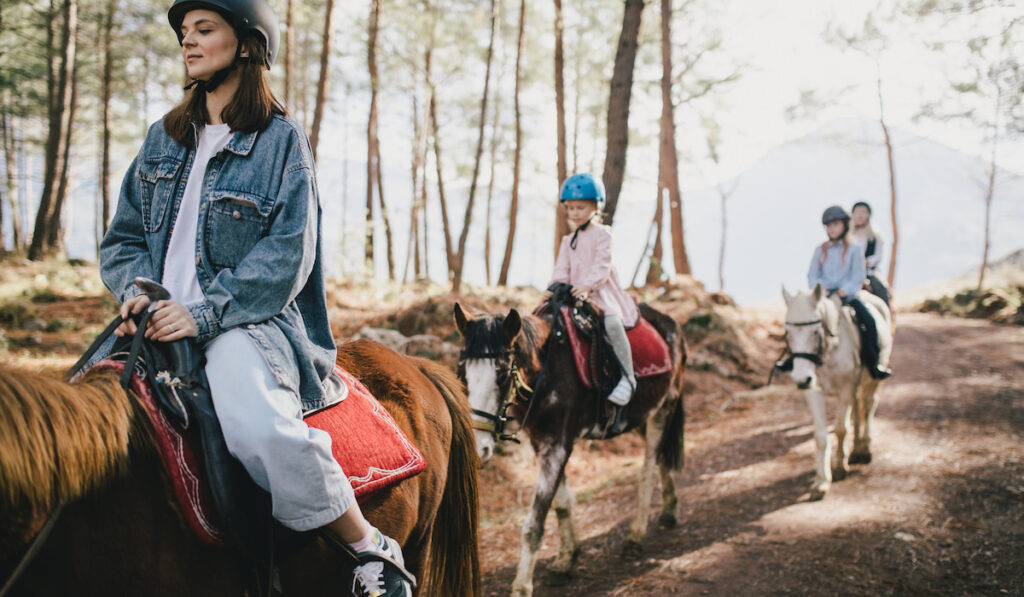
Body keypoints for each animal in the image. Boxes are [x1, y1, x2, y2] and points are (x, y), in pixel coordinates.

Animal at [456, 303, 688, 597]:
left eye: (502, 372)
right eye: (461, 372)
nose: (478, 448)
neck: (548, 372)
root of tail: (672, 323)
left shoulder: (556, 446)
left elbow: (533, 525)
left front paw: (522, 587)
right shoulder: (543, 443)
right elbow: (563, 503)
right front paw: (566, 559)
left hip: (664, 408)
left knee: (648, 469)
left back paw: (635, 536)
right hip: (643, 417)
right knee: (660, 460)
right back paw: (668, 510)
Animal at [782, 284, 888, 499]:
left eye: (816, 331)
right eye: (787, 333)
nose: (800, 379)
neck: (829, 354)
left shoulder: (846, 389)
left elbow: (840, 429)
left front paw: (839, 468)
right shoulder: (814, 391)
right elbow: (821, 436)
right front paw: (822, 481)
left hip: (874, 378)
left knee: (870, 405)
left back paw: (865, 448)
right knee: (858, 409)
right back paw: (856, 449)